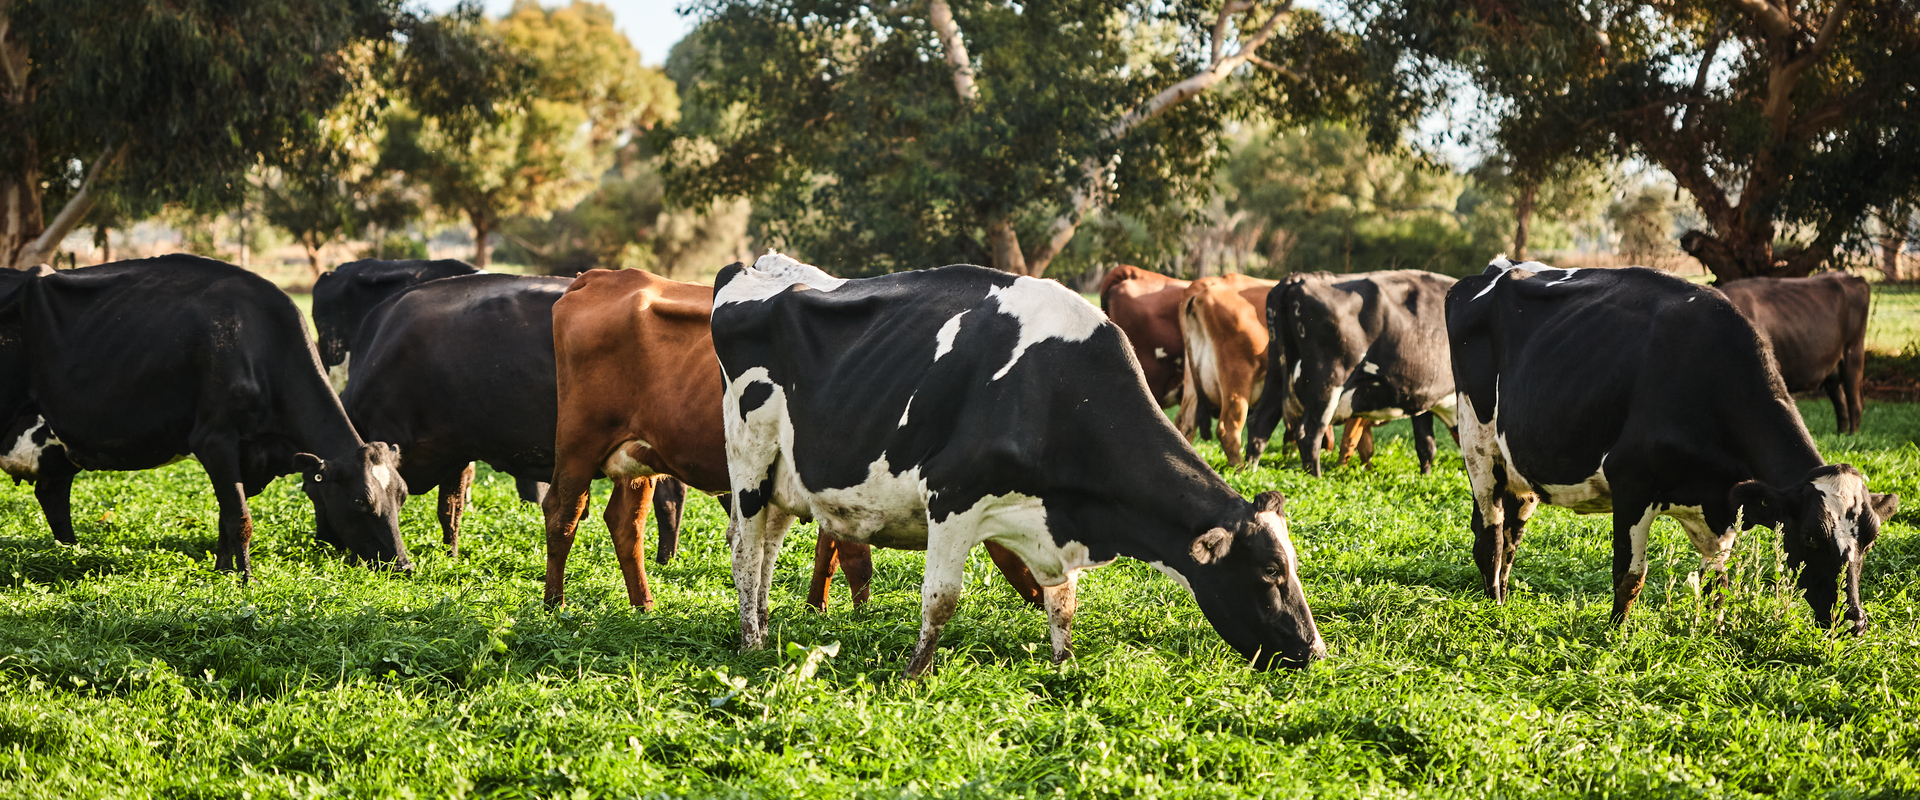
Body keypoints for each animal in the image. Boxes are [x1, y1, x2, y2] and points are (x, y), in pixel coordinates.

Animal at [0, 255, 411, 575]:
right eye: (360, 501)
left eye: (403, 495)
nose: (403, 565)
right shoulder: (214, 439)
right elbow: (240, 517)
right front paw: (245, 578)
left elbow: (225, 516)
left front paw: (224, 570)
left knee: (53, 492)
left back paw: (70, 551)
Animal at [543, 267, 1044, 611]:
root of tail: (603, 277)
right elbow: (853, 554)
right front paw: (858, 613)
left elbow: (833, 547)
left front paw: (819, 606)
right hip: (578, 444)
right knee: (563, 513)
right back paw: (555, 604)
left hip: (637, 456)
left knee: (625, 523)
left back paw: (643, 604)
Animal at [1176, 274, 1279, 467]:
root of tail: (1201, 286)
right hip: (1237, 378)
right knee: (1227, 430)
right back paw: (1240, 468)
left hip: (1192, 380)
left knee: (1184, 423)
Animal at [1245, 270, 1458, 475]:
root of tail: (1298, 278)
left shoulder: (1421, 398)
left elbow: (1426, 445)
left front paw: (1426, 477)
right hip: (1328, 381)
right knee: (1308, 434)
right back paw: (1315, 477)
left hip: (1276, 375)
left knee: (1260, 423)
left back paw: (1248, 472)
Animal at [1719, 273, 1870, 434]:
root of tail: (1854, 278)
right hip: (1832, 368)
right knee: (1841, 401)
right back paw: (1841, 434)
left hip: (1853, 352)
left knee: (1855, 402)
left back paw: (1852, 434)